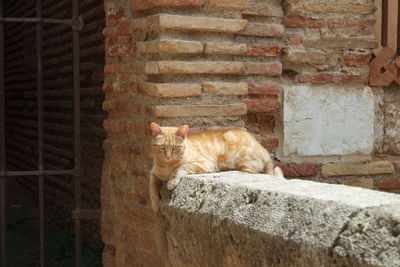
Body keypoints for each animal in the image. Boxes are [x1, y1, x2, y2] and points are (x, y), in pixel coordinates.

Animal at [150, 122, 284, 213]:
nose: (168, 156)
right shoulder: (153, 173)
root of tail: (263, 149)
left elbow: (180, 168)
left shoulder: (204, 163)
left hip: (245, 165)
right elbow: (151, 188)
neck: (166, 166)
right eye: (162, 147)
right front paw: (155, 205)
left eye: (175, 148)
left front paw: (171, 182)